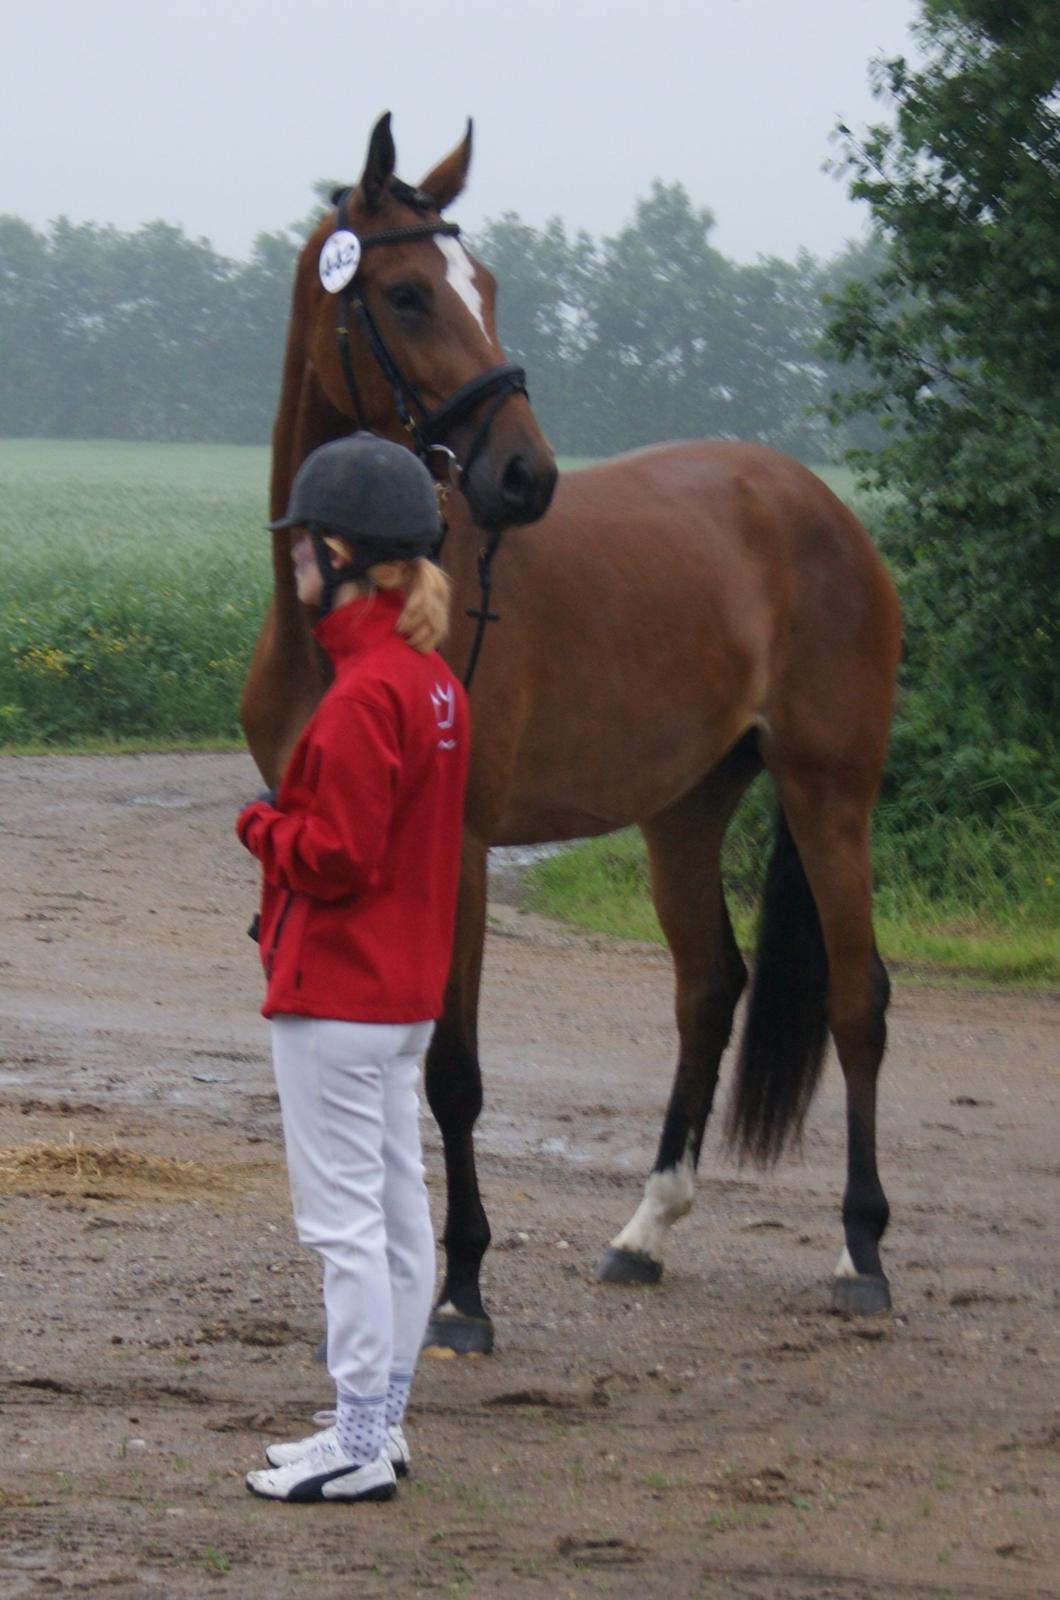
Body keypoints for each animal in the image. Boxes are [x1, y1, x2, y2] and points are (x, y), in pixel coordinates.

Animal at [243, 118, 903, 1356]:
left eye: (486, 285)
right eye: (405, 293)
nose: (525, 472)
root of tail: (819, 505)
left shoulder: (456, 850)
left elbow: (452, 1072)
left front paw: (459, 1291)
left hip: (827, 792)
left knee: (857, 998)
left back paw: (861, 1252)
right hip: (685, 808)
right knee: (708, 987)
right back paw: (645, 1231)